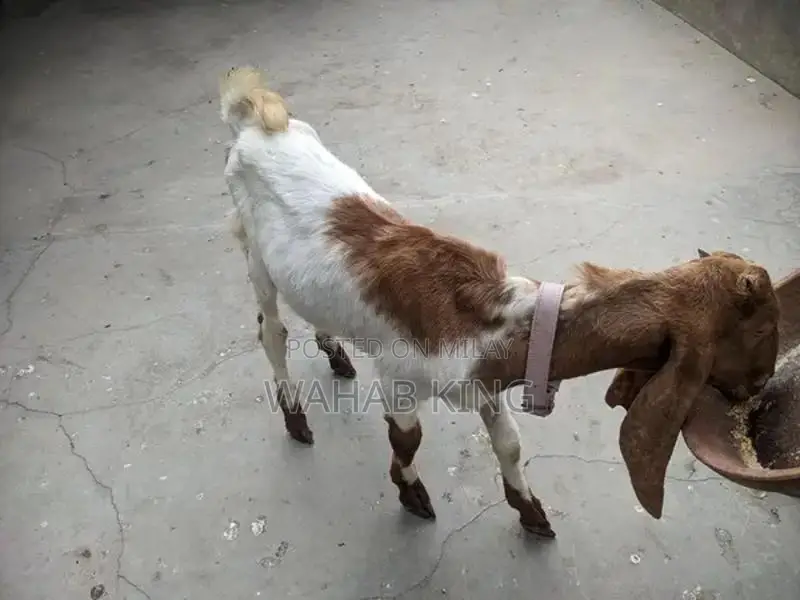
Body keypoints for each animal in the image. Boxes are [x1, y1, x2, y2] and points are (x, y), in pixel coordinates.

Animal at [218, 66, 781, 539]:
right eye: (757, 329)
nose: (757, 388)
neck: (500, 322)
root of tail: (255, 119)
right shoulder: (400, 378)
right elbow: (408, 439)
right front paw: (411, 494)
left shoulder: (485, 383)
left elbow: (509, 443)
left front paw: (531, 513)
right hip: (251, 248)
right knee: (271, 329)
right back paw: (296, 418)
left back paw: (335, 353)